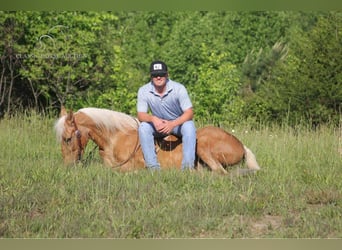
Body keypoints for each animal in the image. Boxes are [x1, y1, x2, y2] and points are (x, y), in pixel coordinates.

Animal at [54, 106, 260, 175]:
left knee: (219, 172)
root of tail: (241, 146)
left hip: (203, 145)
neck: (115, 137)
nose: (67, 167)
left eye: (68, 138)